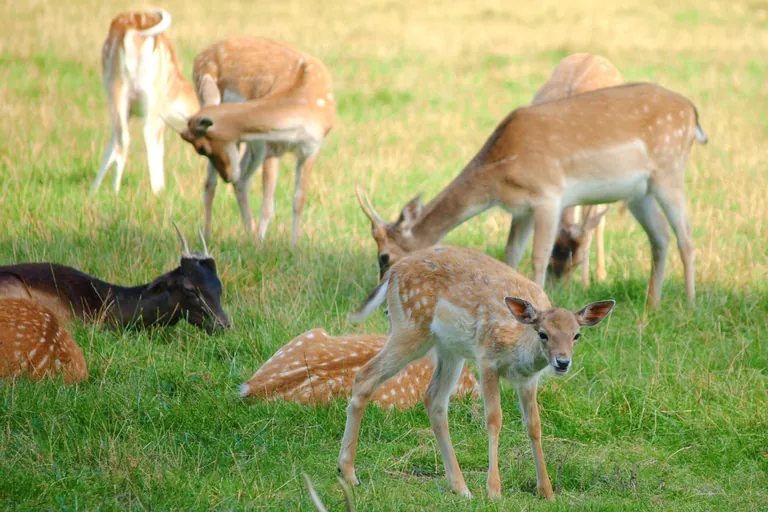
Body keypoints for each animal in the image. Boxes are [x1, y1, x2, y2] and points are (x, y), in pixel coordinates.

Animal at [91, 8, 200, 195]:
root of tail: (133, 31)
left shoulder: (129, 113)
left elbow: (109, 147)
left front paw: (93, 191)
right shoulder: (161, 113)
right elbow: (160, 147)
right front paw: (161, 189)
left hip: (115, 88)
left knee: (121, 139)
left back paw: (114, 191)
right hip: (151, 95)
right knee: (147, 134)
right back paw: (152, 192)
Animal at [180, 36, 336, 247]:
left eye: (202, 148)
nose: (227, 176)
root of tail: (200, 56)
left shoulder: (311, 148)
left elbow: (299, 200)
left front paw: (293, 246)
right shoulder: (271, 146)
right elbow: (267, 204)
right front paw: (261, 245)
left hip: (252, 144)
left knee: (241, 182)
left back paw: (249, 233)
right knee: (211, 183)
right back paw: (207, 235)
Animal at [337, 246, 615, 500]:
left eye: (576, 335)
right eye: (543, 333)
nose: (562, 362)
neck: (518, 347)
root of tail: (392, 273)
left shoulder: (528, 380)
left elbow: (534, 425)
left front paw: (546, 491)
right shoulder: (487, 359)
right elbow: (494, 418)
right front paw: (494, 490)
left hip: (449, 348)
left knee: (434, 399)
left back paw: (460, 487)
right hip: (410, 328)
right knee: (365, 376)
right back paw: (348, 473)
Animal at [356, 82, 708, 308]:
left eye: (384, 256)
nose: (381, 296)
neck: (501, 172)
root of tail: (693, 113)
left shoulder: (549, 196)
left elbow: (539, 257)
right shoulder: (521, 210)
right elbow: (511, 255)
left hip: (670, 169)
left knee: (686, 236)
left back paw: (689, 303)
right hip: (639, 192)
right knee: (660, 235)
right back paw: (652, 304)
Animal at [531, 53, 624, 288]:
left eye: (577, 261)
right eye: (549, 261)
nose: (558, 290)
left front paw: (586, 284)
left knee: (599, 222)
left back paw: (600, 274)